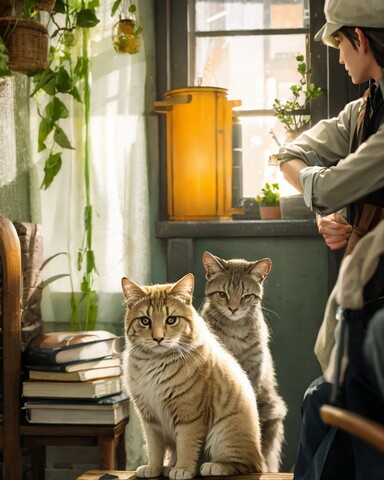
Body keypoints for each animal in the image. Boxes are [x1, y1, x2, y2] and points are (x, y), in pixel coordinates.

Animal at [121, 272, 266, 478]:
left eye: (171, 320)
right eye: (145, 321)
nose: (158, 338)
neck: (155, 362)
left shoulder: (189, 415)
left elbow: (186, 446)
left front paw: (182, 469)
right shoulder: (149, 419)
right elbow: (154, 449)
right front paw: (154, 468)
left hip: (224, 433)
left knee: (245, 465)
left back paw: (213, 466)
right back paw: (169, 466)